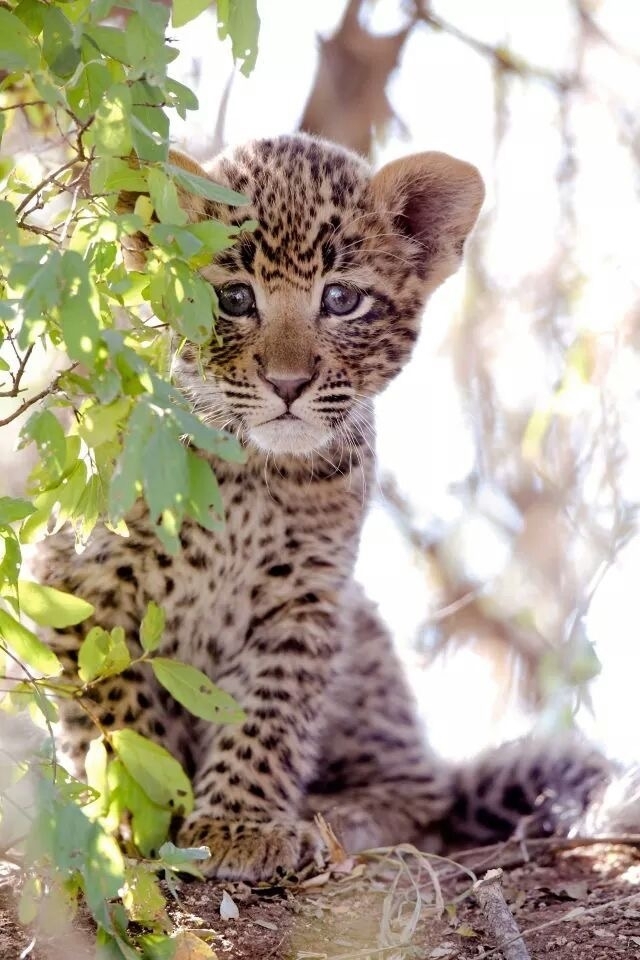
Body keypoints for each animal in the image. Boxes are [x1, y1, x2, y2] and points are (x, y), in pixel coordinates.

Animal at [33, 133, 612, 882]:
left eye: (340, 299)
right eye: (233, 297)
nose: (287, 383)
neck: (248, 475)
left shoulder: (305, 597)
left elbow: (268, 715)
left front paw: (238, 825)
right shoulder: (81, 581)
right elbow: (117, 712)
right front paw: (141, 813)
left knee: (422, 799)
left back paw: (333, 820)